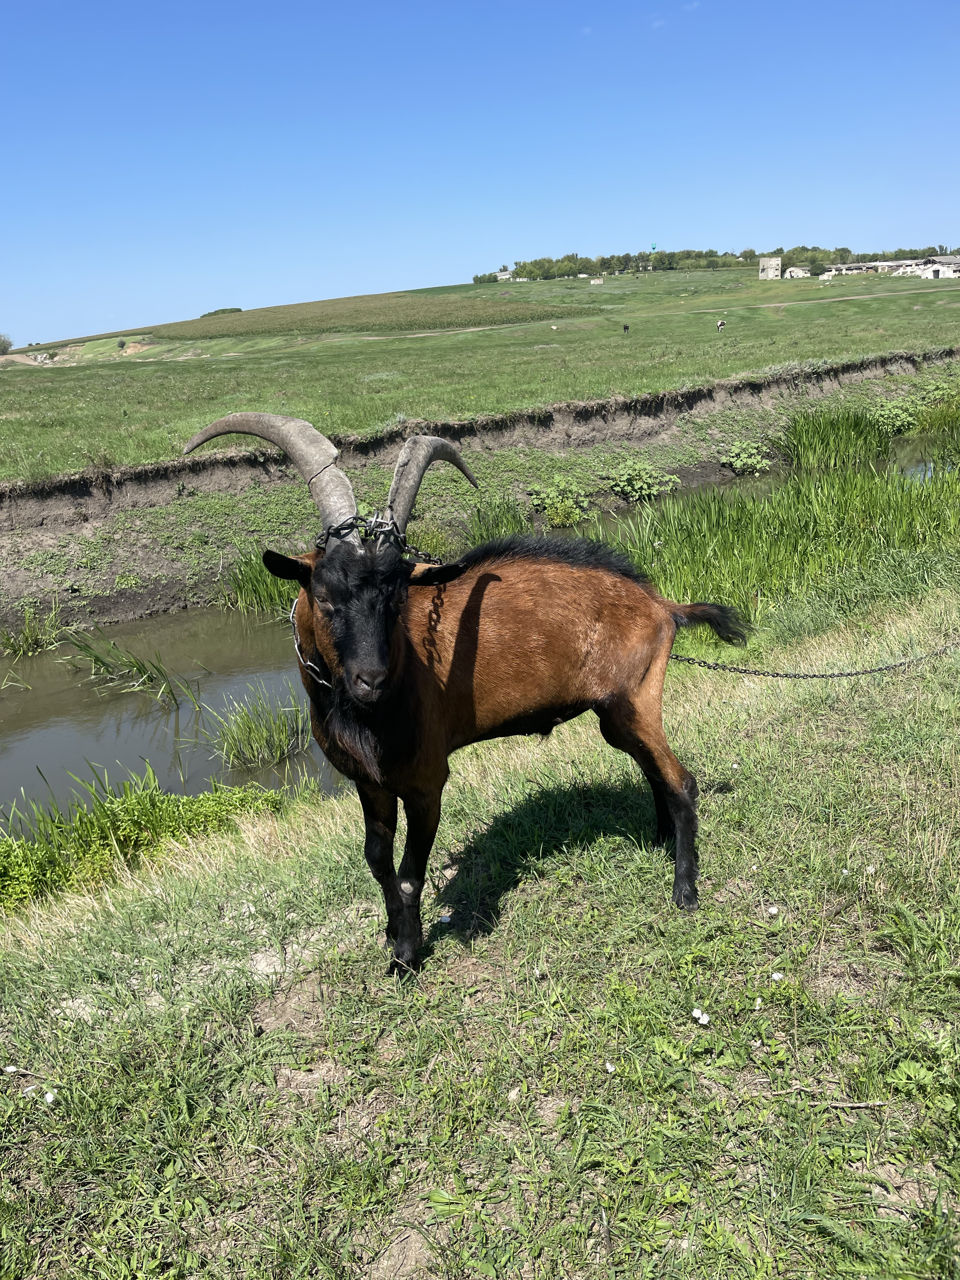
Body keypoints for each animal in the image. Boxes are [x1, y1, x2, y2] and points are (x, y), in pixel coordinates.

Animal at [184, 414, 747, 972]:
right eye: (323, 596)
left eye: (396, 597)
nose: (372, 680)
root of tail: (661, 605)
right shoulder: (368, 781)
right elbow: (377, 862)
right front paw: (392, 935)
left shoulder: (426, 780)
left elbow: (409, 873)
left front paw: (407, 957)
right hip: (616, 714)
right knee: (653, 770)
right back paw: (660, 841)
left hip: (636, 698)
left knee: (681, 780)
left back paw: (684, 890)